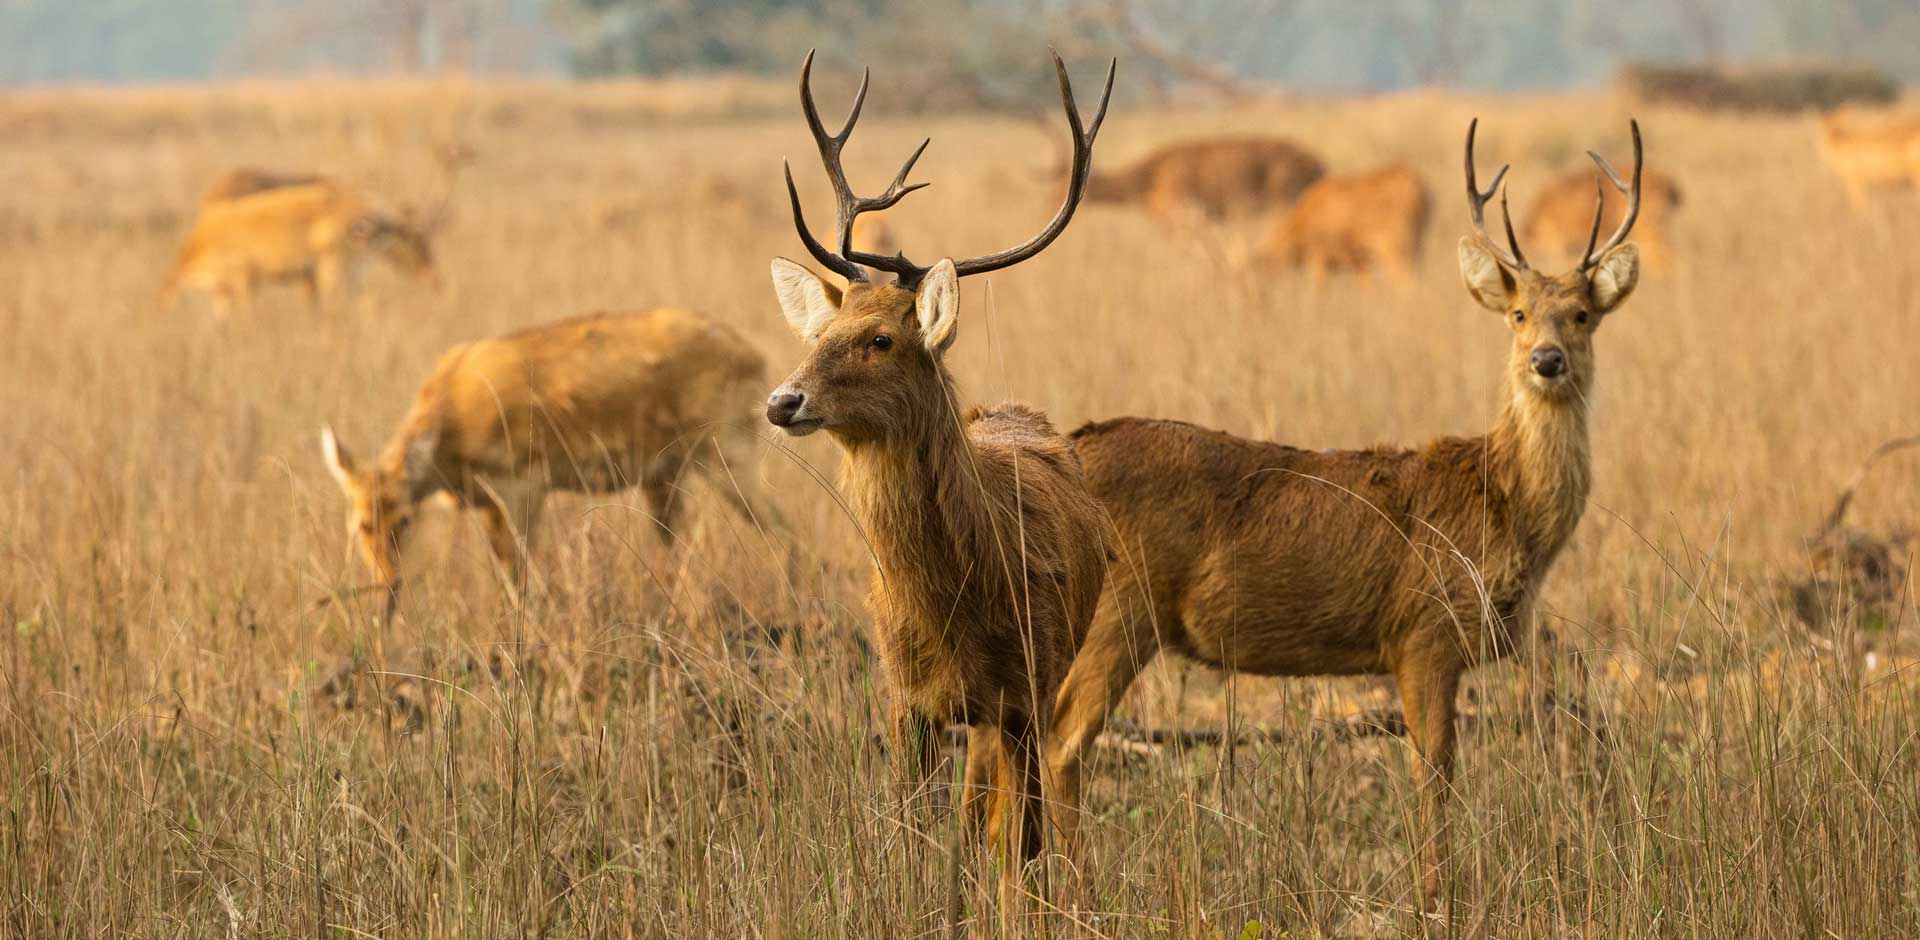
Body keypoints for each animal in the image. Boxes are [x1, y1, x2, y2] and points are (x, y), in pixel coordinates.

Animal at [318, 308, 768, 617]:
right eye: (363, 524)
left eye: (406, 520)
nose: (388, 584)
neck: (452, 404)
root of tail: (750, 351)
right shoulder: (490, 508)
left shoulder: (525, 492)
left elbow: (522, 583)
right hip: (664, 488)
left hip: (730, 469)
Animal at [764, 49, 1121, 909]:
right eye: (821, 332)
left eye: (882, 339)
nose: (783, 400)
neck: (955, 608)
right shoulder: (905, 703)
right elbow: (916, 847)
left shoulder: (1026, 686)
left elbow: (1016, 850)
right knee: (969, 815)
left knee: (1012, 825)